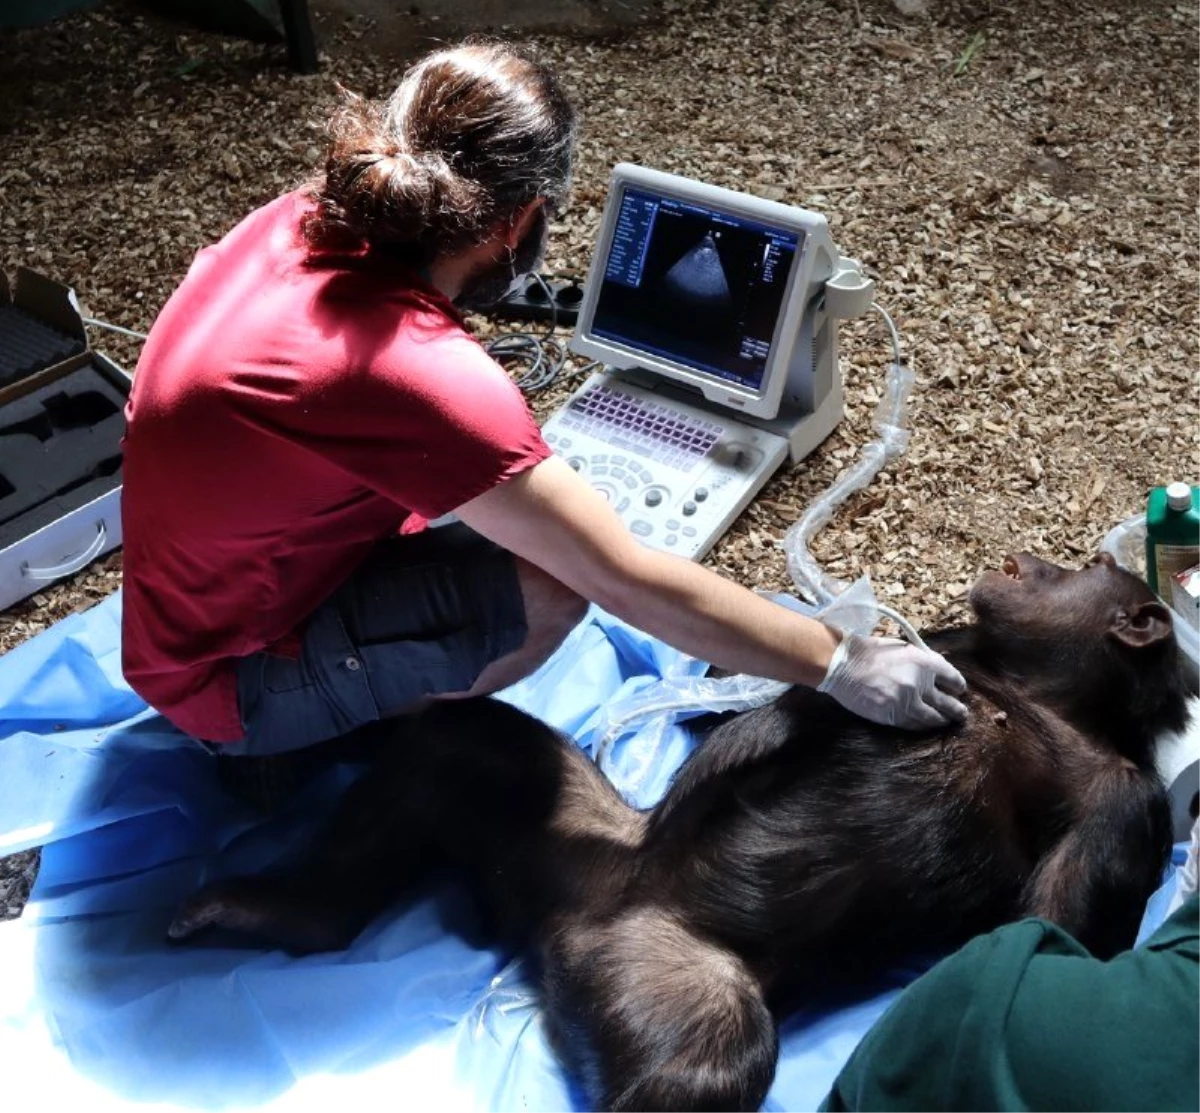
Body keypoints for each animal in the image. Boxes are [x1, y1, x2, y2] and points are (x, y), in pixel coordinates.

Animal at [166, 551, 1190, 1108]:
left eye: (1082, 570)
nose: (1033, 564)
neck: (1035, 689)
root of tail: (551, 943)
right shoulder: (949, 645)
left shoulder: (1122, 808)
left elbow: (1052, 935)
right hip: (575, 836)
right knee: (460, 740)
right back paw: (282, 907)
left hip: (659, 981)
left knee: (705, 1065)